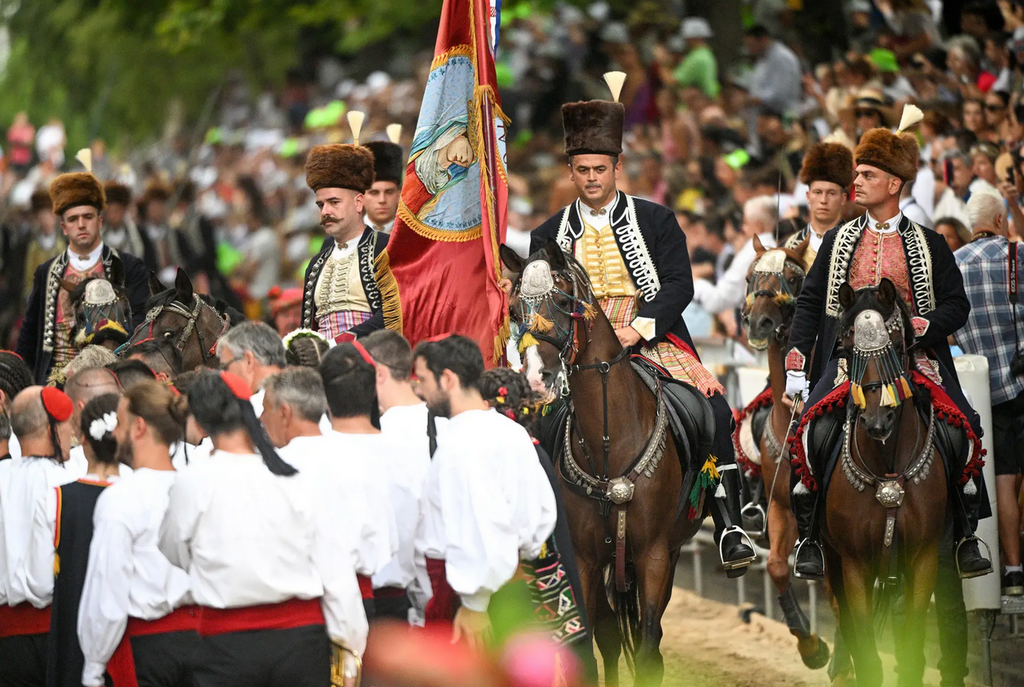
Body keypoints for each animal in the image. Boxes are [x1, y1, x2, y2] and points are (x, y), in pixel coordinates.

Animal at [501, 240, 712, 687]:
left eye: (565, 302)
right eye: (513, 310)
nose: (537, 378)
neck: (609, 448)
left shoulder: (654, 554)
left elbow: (649, 651)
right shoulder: (583, 558)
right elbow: (589, 649)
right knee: (610, 636)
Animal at [819, 280, 946, 687]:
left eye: (895, 344)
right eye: (847, 346)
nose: (877, 421)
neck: (888, 473)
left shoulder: (922, 557)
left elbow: (912, 651)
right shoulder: (854, 563)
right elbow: (868, 656)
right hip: (832, 559)